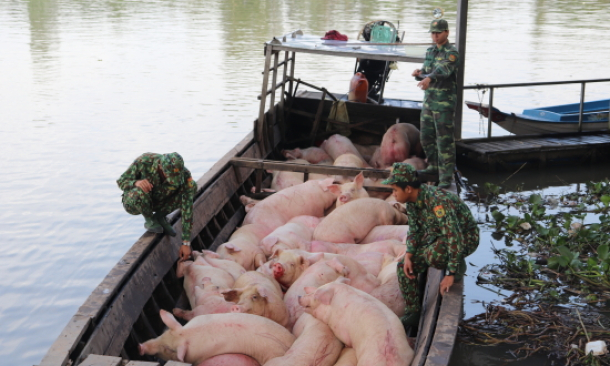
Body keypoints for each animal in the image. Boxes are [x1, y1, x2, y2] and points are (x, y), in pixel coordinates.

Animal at [140, 308, 296, 366]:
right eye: (163, 333)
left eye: (168, 349)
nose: (140, 346)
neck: (189, 333)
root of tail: (292, 341)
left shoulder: (200, 357)